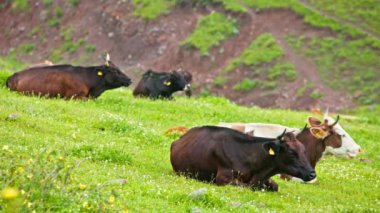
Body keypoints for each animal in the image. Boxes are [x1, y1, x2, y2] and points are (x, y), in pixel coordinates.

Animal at [171, 125, 316, 192]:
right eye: (292, 153)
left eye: (304, 150)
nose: (312, 174)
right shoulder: (223, 179)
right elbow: (249, 186)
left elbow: (275, 186)